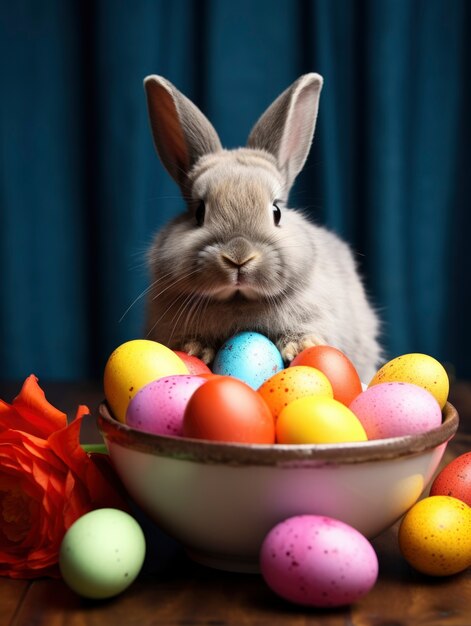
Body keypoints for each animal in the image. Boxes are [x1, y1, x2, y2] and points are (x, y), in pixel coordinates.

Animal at [142, 70, 382, 378]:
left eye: (276, 211)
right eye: (199, 212)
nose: (238, 257)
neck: (239, 301)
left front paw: (302, 346)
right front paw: (193, 349)